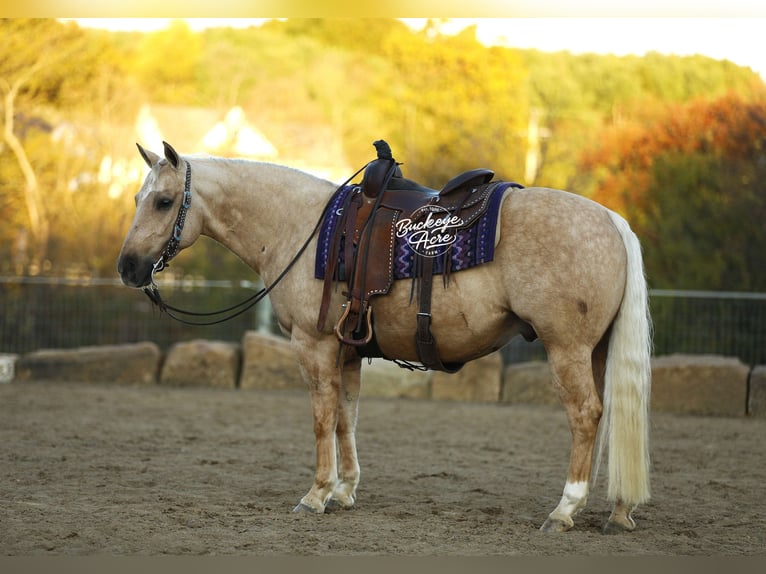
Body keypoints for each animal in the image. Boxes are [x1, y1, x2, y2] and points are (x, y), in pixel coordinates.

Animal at [117, 141, 652, 534]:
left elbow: (321, 419)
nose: (127, 267)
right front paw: (344, 490)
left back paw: (566, 508)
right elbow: (345, 418)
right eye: (140, 199)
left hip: (567, 349)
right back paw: (618, 510)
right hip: (595, 351)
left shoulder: (314, 346)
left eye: (163, 201)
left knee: (585, 416)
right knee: (612, 414)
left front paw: (316, 494)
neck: (301, 227)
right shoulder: (348, 351)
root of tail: (611, 221)